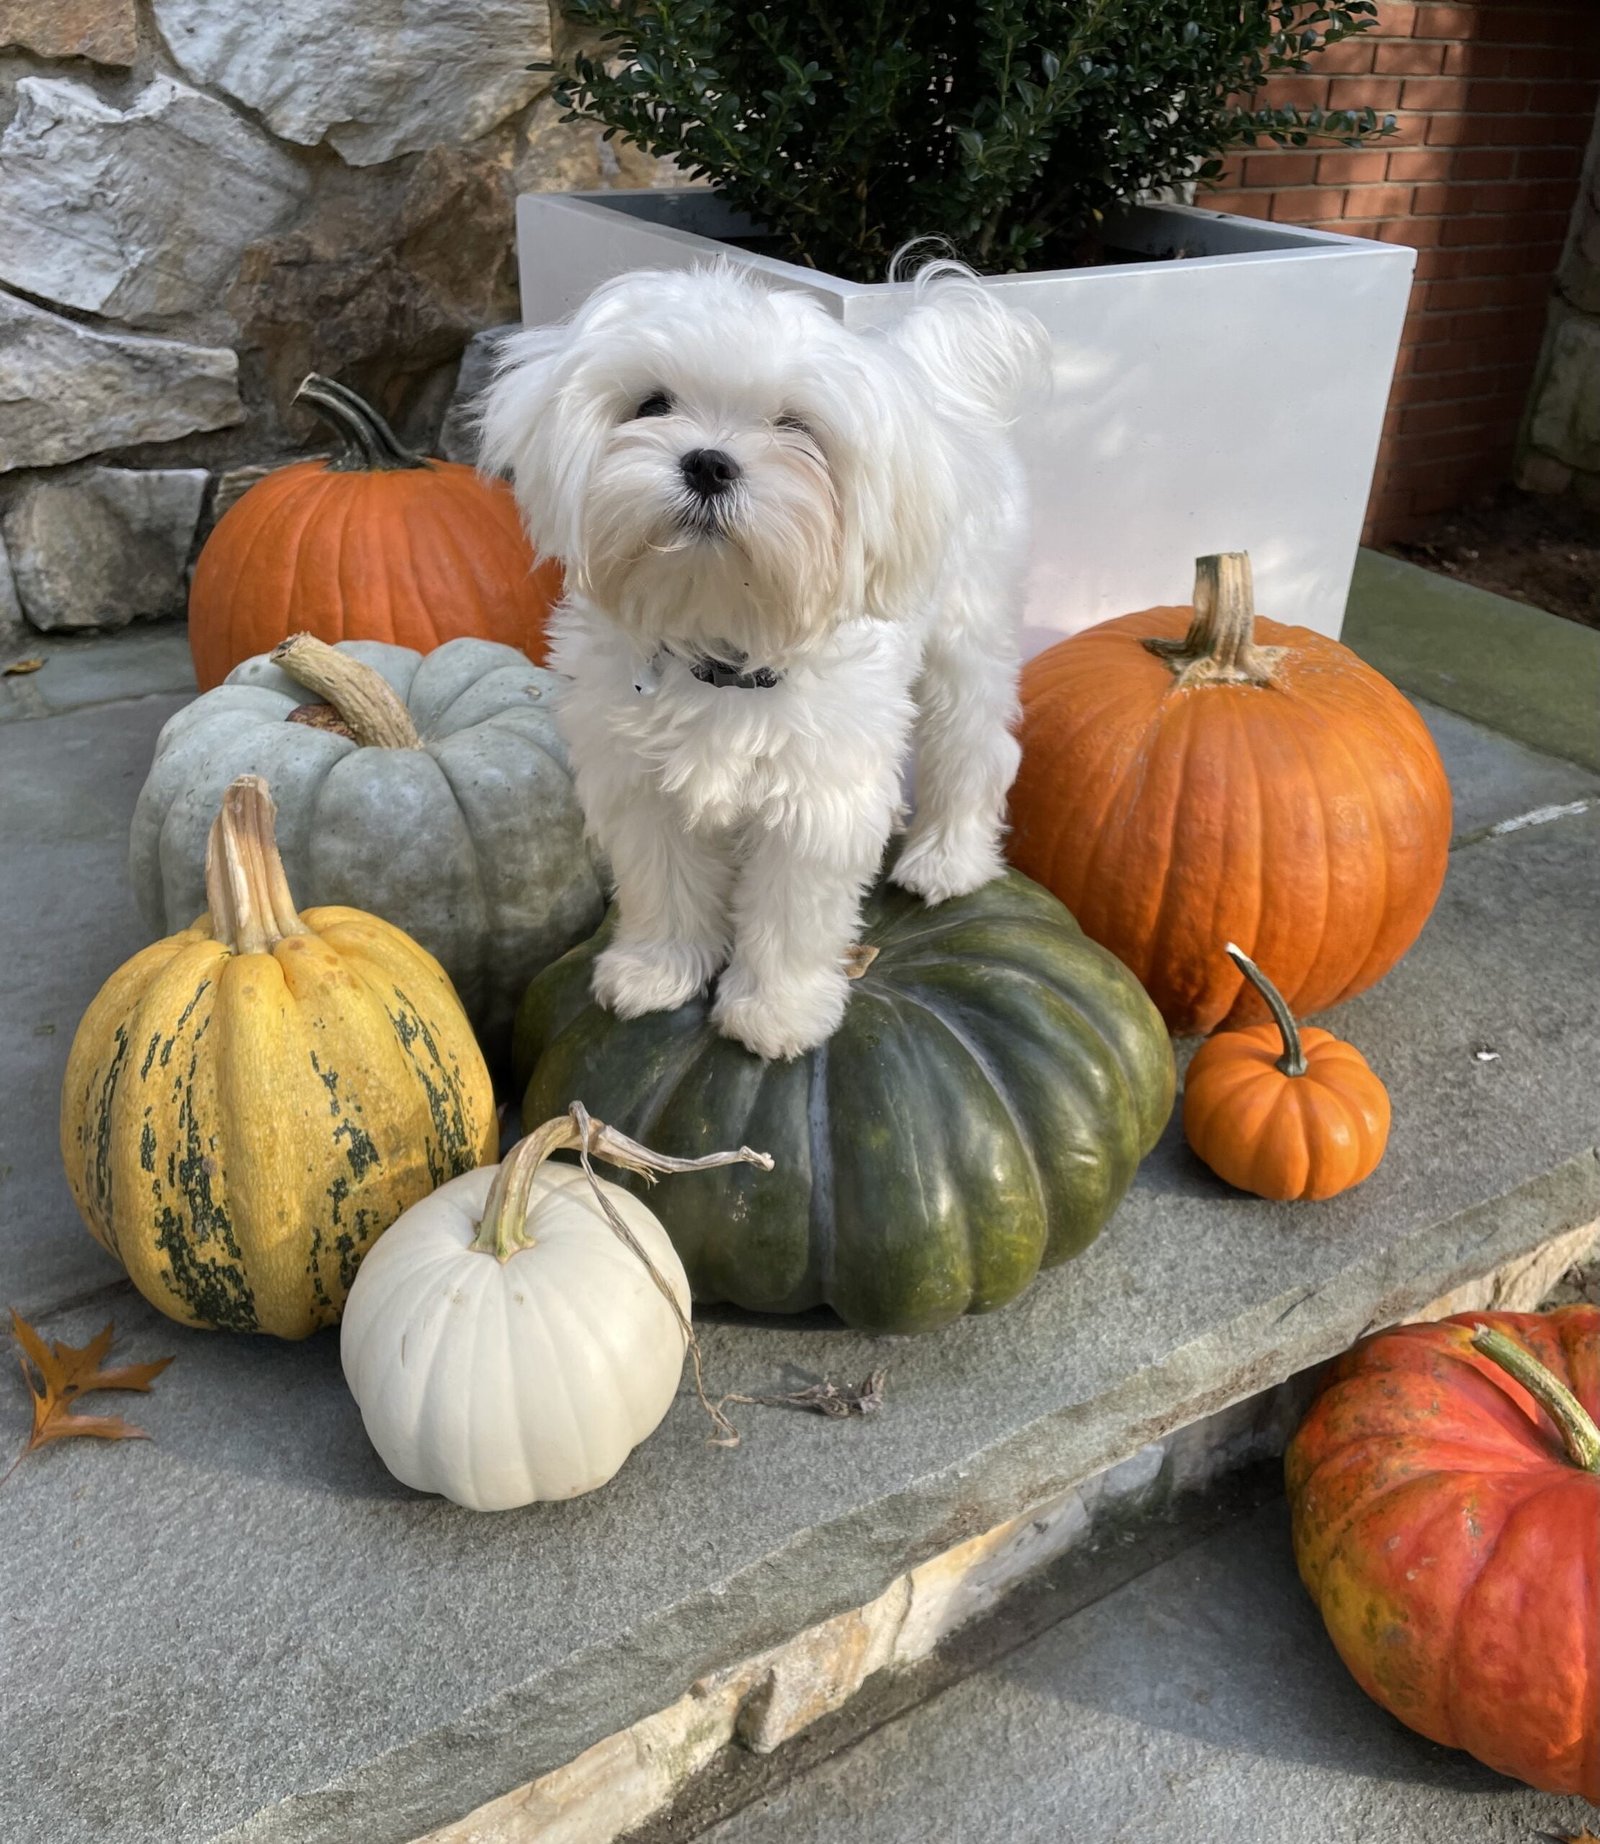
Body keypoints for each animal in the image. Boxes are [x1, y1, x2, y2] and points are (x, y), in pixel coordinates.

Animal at [482, 265, 1047, 1062]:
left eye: (795, 428)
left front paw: (777, 1011)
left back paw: (948, 858)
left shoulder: (815, 803)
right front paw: (657, 971)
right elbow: (665, 882)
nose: (709, 461)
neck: (722, 641)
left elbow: (790, 914)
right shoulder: (642, 788)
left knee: (974, 744)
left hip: (967, 635)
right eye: (651, 404)